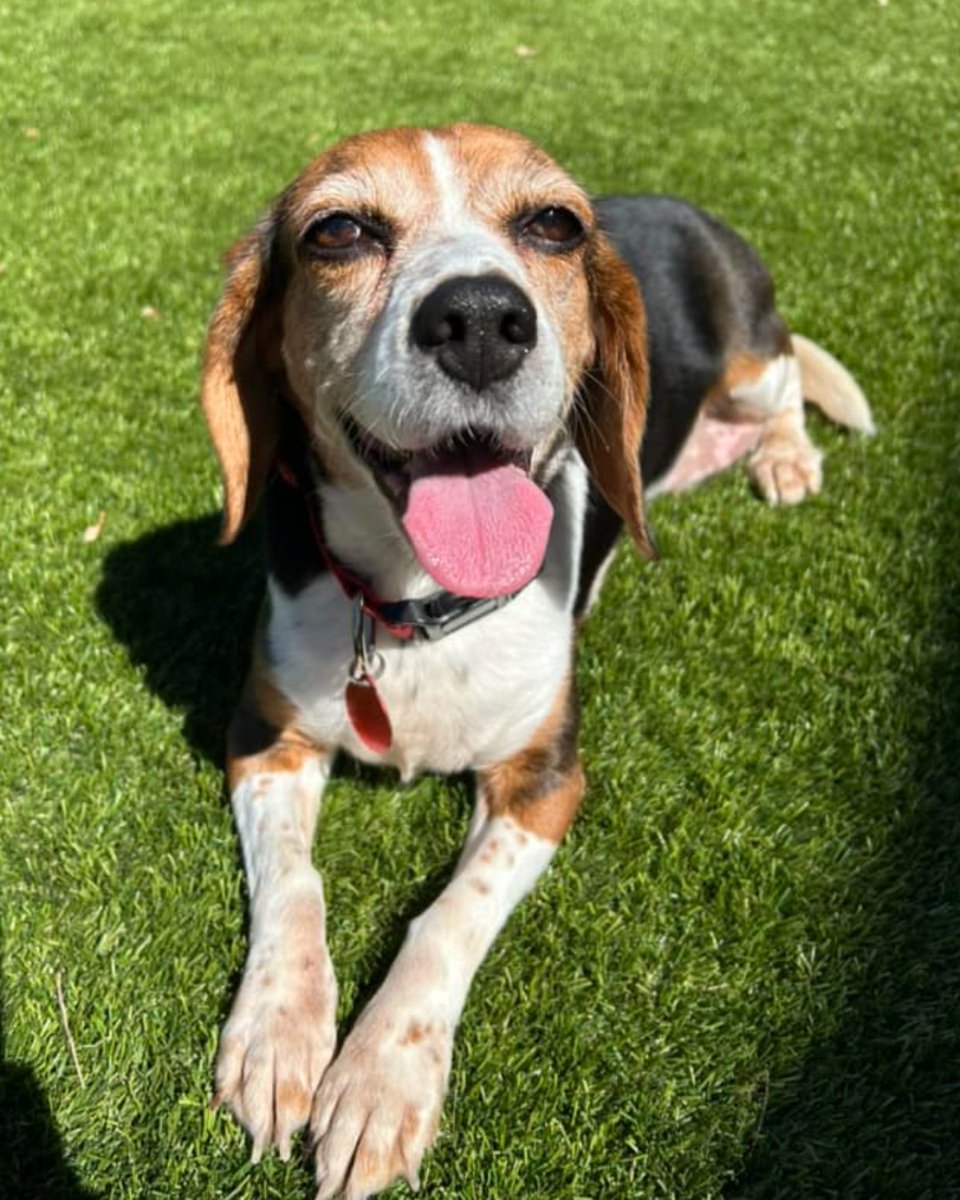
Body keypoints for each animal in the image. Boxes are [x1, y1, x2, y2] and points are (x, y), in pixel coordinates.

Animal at [200, 124, 868, 1200]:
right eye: (337, 231)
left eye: (553, 223)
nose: (479, 316)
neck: (418, 606)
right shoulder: (265, 737)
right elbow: (296, 884)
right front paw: (277, 1035)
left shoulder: (545, 781)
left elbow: (446, 918)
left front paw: (380, 1082)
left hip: (752, 361)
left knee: (786, 398)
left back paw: (785, 458)